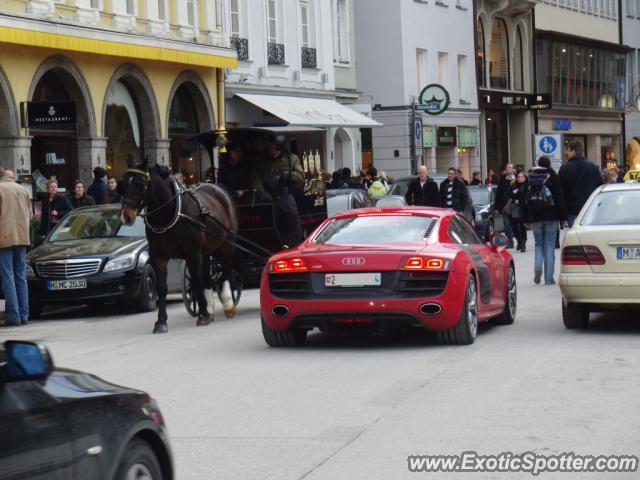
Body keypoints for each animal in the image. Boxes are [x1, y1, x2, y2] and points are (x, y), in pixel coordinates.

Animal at [120, 161, 238, 334]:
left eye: (141, 183)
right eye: (123, 182)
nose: (126, 216)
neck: (169, 214)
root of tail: (216, 187)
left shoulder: (193, 253)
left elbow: (196, 282)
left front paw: (203, 315)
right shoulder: (159, 256)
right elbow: (162, 288)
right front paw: (161, 321)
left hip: (227, 242)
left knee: (227, 270)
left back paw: (228, 303)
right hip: (206, 251)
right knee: (207, 277)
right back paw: (210, 308)